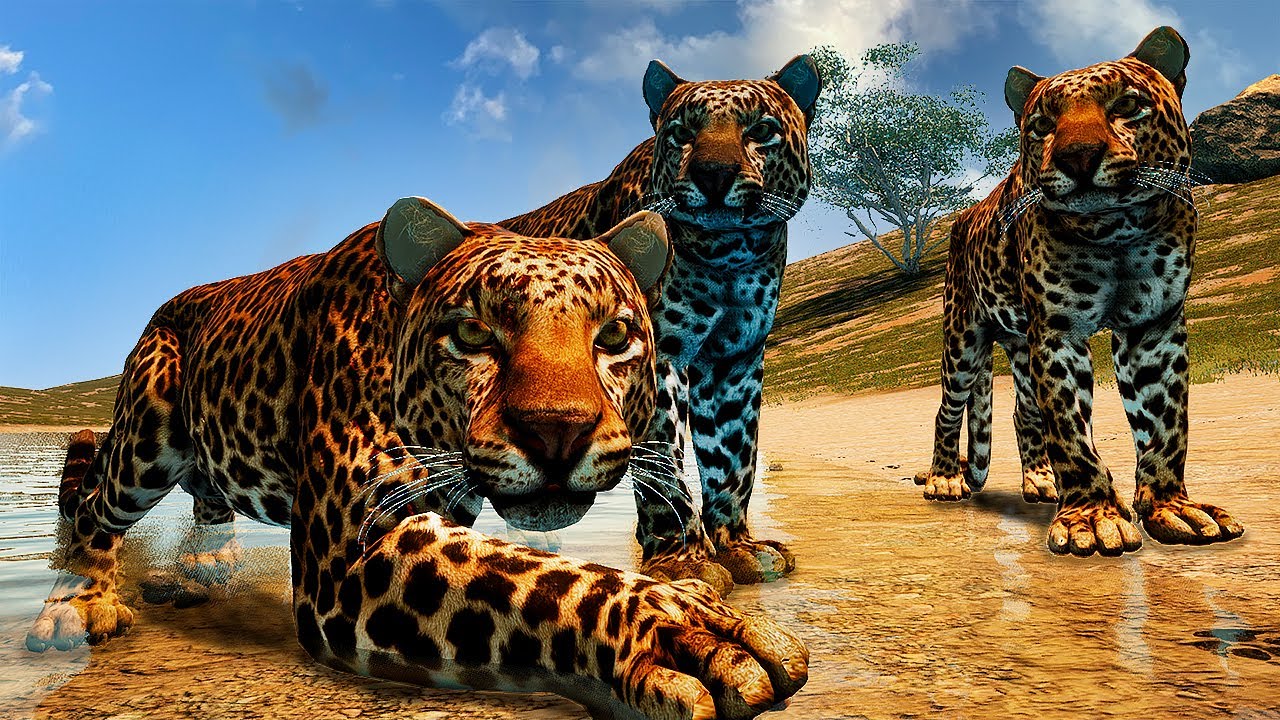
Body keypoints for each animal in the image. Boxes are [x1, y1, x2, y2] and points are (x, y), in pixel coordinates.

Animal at [24, 196, 809, 720]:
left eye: (614, 336)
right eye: (474, 334)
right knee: (97, 497)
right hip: (149, 432)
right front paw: (687, 630)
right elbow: (547, 581)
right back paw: (77, 606)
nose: (557, 432)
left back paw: (203, 566)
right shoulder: (352, 549)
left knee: (204, 493)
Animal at [502, 54, 822, 593]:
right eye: (682, 133)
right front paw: (683, 561)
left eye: (760, 131)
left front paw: (738, 547)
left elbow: (734, 458)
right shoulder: (659, 357)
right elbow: (663, 465)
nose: (714, 174)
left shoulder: (735, 361)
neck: (725, 256)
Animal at [913, 26, 1244, 557]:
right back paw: (945, 478)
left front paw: (1171, 507)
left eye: (1127, 105)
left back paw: (1039, 479)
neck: (1117, 232)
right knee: (949, 409)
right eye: (1043, 125)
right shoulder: (1058, 332)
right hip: (963, 339)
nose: (1078, 156)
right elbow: (1070, 429)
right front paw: (1091, 516)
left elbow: (1166, 424)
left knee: (1023, 412)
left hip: (1020, 344)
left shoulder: (1153, 328)